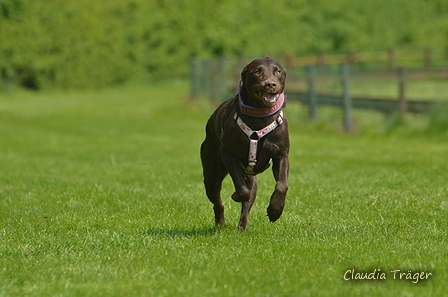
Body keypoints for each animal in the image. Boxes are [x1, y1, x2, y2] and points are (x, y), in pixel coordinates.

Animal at [200, 56, 290, 230]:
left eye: (278, 71)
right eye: (257, 71)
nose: (270, 84)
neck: (260, 116)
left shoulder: (281, 154)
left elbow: (282, 185)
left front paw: (275, 210)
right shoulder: (228, 153)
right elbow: (242, 190)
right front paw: (236, 195)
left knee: (247, 204)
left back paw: (243, 227)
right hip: (211, 172)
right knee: (218, 200)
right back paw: (220, 222)